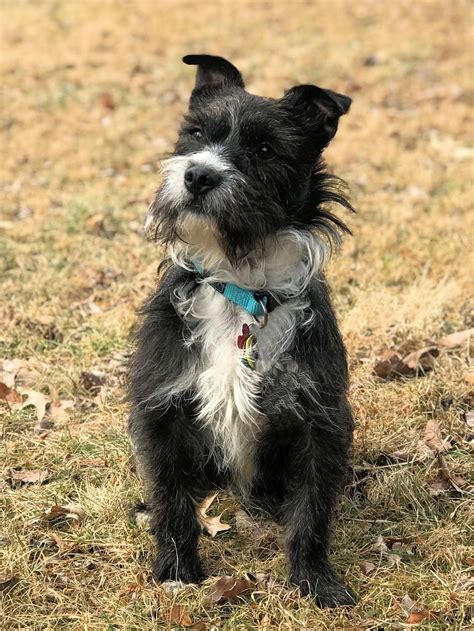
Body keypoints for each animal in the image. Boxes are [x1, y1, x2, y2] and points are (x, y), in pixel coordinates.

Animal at [130, 55, 356, 612]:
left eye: (264, 150)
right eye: (194, 134)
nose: (198, 175)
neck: (240, 286)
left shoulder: (322, 421)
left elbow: (311, 512)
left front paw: (315, 579)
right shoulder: (160, 411)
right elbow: (172, 502)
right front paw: (176, 571)